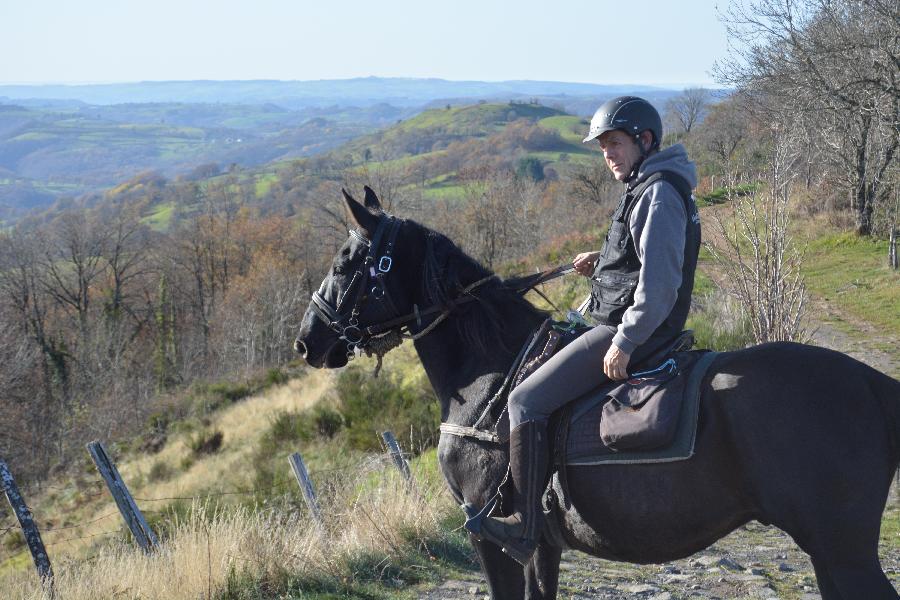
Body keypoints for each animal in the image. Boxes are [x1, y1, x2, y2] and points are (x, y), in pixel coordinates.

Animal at [296, 189, 900, 600]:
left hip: (841, 551)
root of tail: (875, 385)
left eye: (345, 263)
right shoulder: (544, 547)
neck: (490, 380)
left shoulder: (495, 539)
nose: (308, 341)